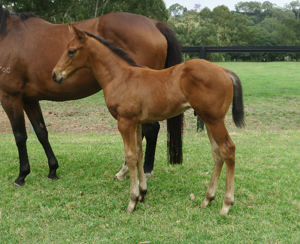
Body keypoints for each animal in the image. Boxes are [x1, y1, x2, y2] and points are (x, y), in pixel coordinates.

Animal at [0, 4, 183, 186]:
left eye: (71, 51)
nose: (55, 74)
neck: (7, 34)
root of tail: (155, 24)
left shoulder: (10, 96)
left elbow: (20, 136)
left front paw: (21, 176)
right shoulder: (29, 99)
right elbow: (41, 132)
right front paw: (52, 170)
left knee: (150, 130)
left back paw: (140, 172)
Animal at [51, 25, 244, 214]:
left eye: (71, 51)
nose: (55, 75)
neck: (119, 77)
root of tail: (224, 71)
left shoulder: (125, 122)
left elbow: (130, 156)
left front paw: (132, 201)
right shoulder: (136, 123)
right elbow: (138, 154)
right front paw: (142, 193)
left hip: (214, 119)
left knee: (228, 149)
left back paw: (226, 205)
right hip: (208, 119)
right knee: (217, 153)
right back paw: (207, 199)